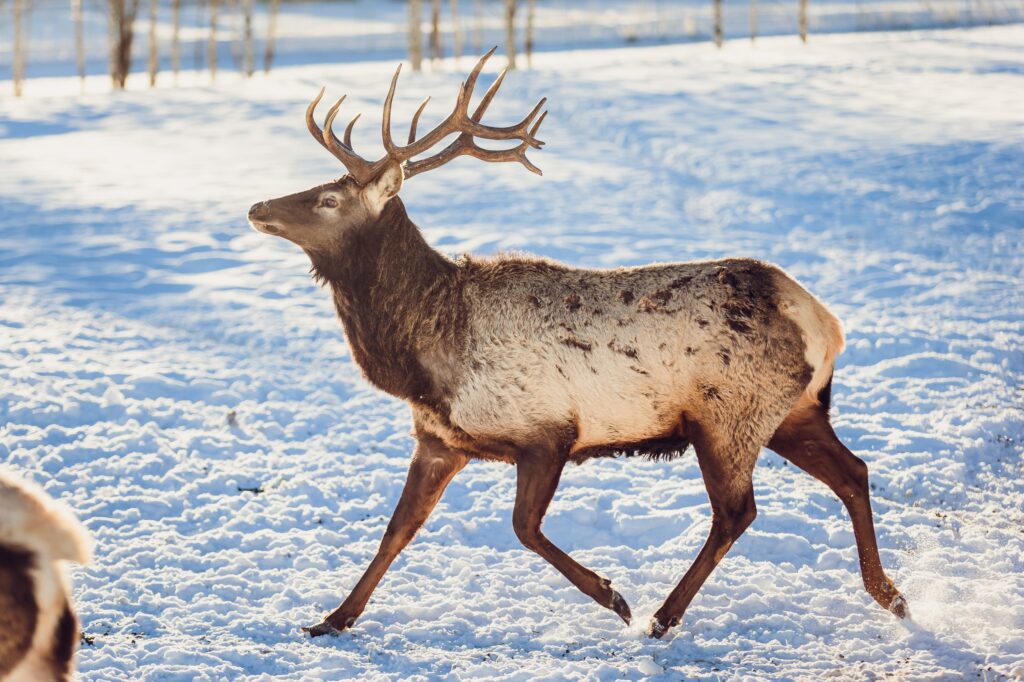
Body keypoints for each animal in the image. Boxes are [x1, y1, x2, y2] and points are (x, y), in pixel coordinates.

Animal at [249, 49, 913, 638]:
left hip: (729, 415)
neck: (423, 357)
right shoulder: (440, 439)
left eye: (328, 199)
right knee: (854, 472)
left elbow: (523, 528)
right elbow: (397, 530)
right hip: (791, 411)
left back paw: (663, 616)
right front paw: (330, 619)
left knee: (737, 511)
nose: (257, 206)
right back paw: (891, 595)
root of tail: (822, 319)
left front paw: (614, 596)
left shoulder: (548, 432)